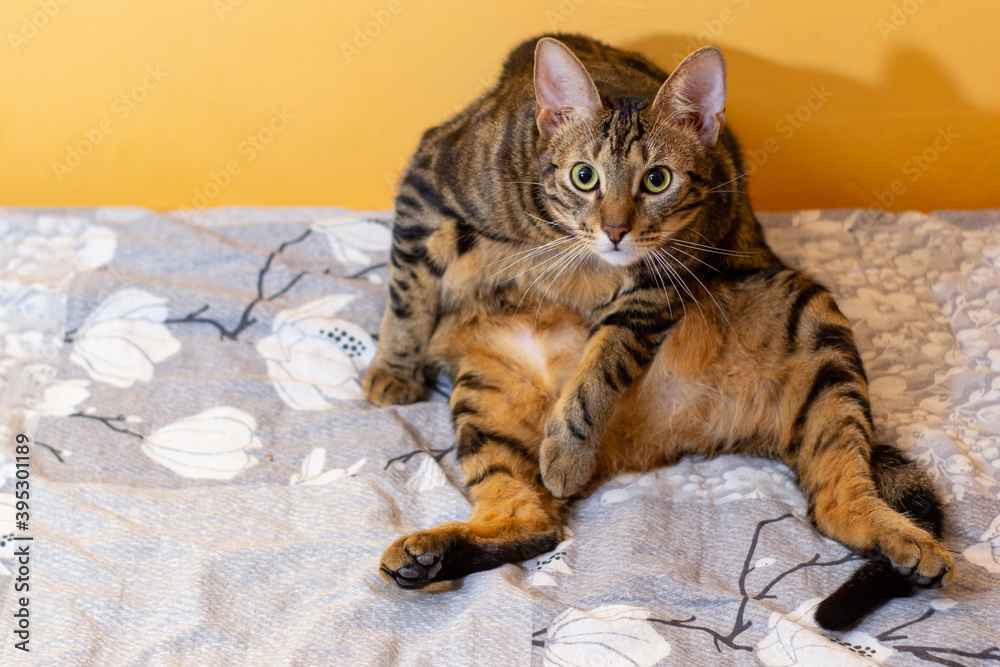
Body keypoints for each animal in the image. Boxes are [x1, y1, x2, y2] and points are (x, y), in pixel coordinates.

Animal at [366, 35, 952, 632]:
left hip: (813, 325)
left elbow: (600, 370)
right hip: (485, 393)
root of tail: (656, 440)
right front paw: (393, 370)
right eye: (584, 176)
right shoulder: (426, 186)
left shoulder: (657, 287)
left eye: (657, 180)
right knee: (532, 522)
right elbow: (407, 293)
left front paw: (566, 453)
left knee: (835, 501)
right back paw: (425, 557)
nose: (615, 229)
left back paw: (907, 543)